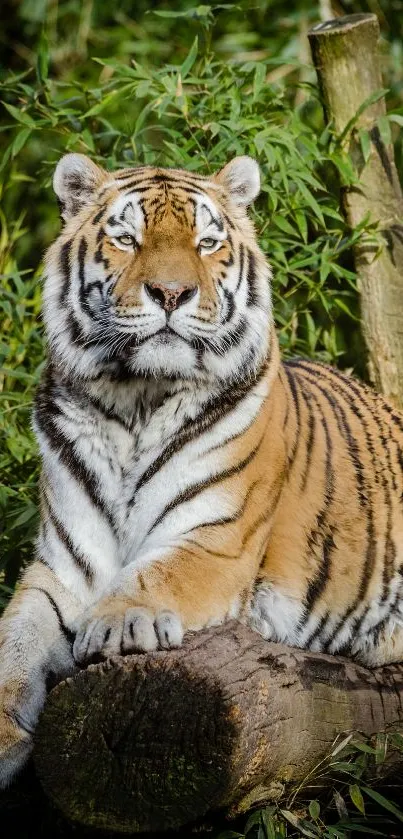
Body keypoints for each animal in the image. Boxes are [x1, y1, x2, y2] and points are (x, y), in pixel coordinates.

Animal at [0, 149, 403, 788]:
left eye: (207, 242)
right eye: (127, 238)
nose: (172, 292)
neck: (135, 402)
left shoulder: (215, 541)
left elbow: (156, 574)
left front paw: (117, 623)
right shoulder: (63, 567)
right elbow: (13, 643)